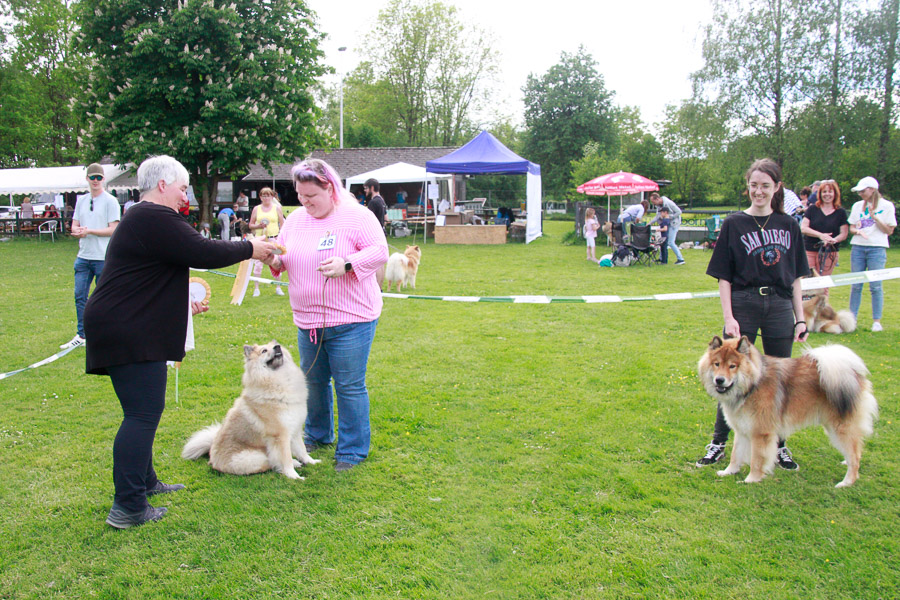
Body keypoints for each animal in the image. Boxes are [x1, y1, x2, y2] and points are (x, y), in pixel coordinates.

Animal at [180, 342, 320, 478]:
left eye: (277, 345)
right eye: (264, 351)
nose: (277, 347)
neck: (278, 379)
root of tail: (212, 458)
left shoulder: (294, 429)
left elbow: (302, 449)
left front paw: (311, 461)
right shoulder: (280, 436)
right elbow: (286, 458)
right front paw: (293, 475)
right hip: (255, 457)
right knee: (271, 462)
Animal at [696, 338, 880, 488]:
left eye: (732, 366)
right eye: (717, 364)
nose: (719, 380)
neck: (752, 386)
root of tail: (852, 373)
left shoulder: (761, 433)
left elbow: (757, 460)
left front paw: (751, 480)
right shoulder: (742, 430)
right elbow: (736, 455)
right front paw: (729, 472)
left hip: (841, 428)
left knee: (855, 456)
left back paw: (846, 482)